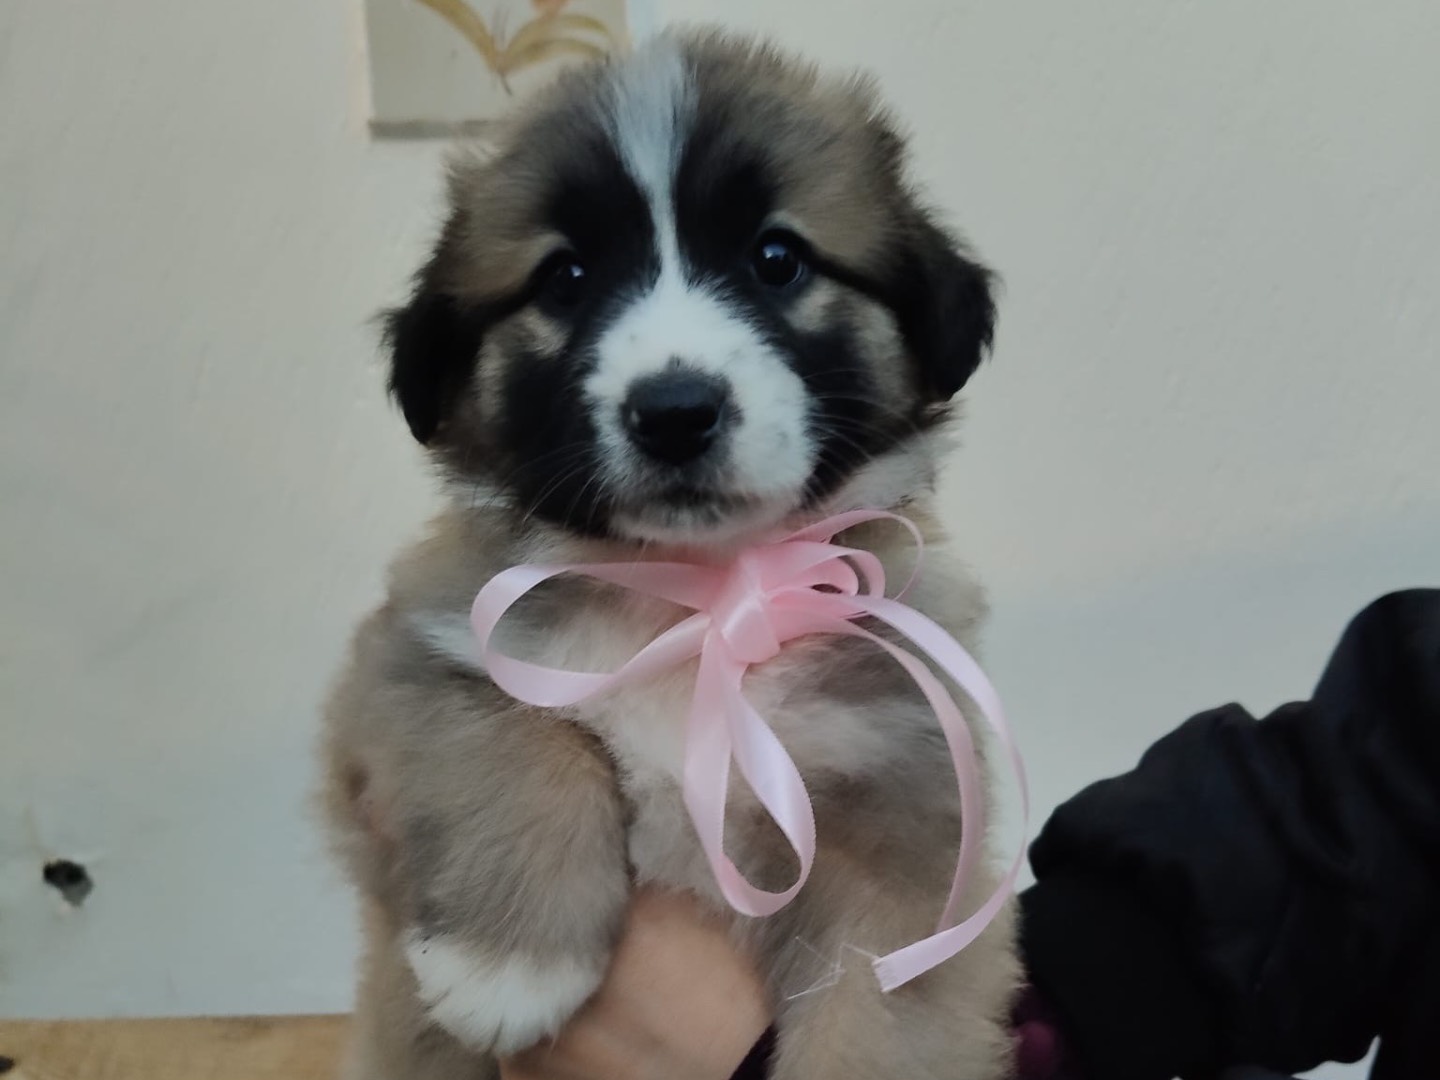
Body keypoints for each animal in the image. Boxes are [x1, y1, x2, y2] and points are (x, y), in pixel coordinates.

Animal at [323, 29, 1020, 1080]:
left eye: (777, 259)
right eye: (564, 279)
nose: (676, 411)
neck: (701, 600)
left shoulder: (902, 838)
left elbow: (871, 1017)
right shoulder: (409, 656)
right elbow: (505, 730)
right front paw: (508, 961)